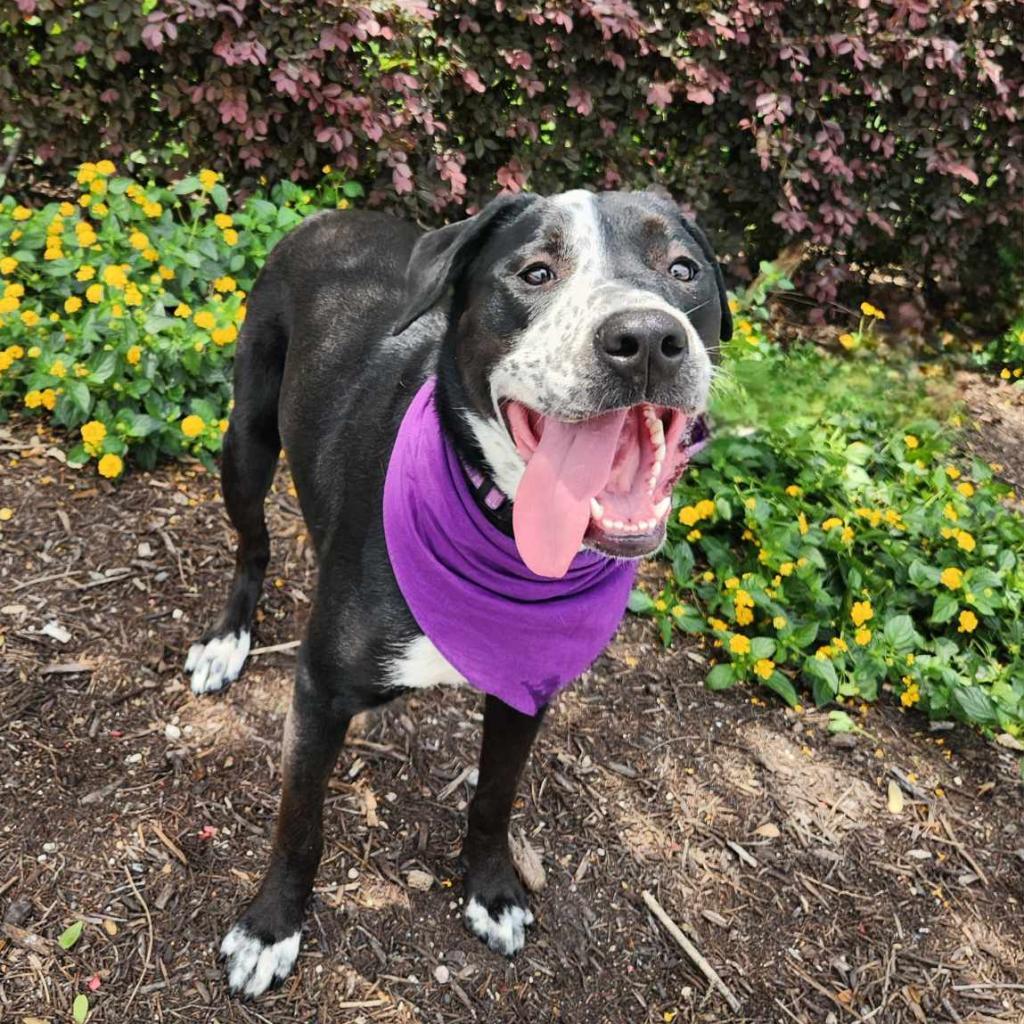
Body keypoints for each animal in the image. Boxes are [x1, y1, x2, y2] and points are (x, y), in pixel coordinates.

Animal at [182, 188, 729, 995]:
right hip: (246, 440)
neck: (503, 526)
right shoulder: (317, 689)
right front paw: (270, 927)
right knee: (252, 545)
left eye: (684, 269)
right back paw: (227, 640)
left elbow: (495, 796)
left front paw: (492, 889)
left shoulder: (526, 689)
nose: (649, 338)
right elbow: (299, 819)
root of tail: (330, 216)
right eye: (535, 272)